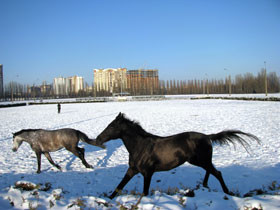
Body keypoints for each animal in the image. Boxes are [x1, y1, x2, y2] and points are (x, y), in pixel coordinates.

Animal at [96, 113, 260, 199]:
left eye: (111, 126)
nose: (98, 138)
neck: (140, 146)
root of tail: (207, 137)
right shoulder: (132, 170)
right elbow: (119, 186)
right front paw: (108, 199)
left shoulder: (147, 173)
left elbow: (144, 192)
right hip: (199, 161)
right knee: (211, 171)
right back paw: (204, 186)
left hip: (201, 160)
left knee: (217, 173)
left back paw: (227, 192)